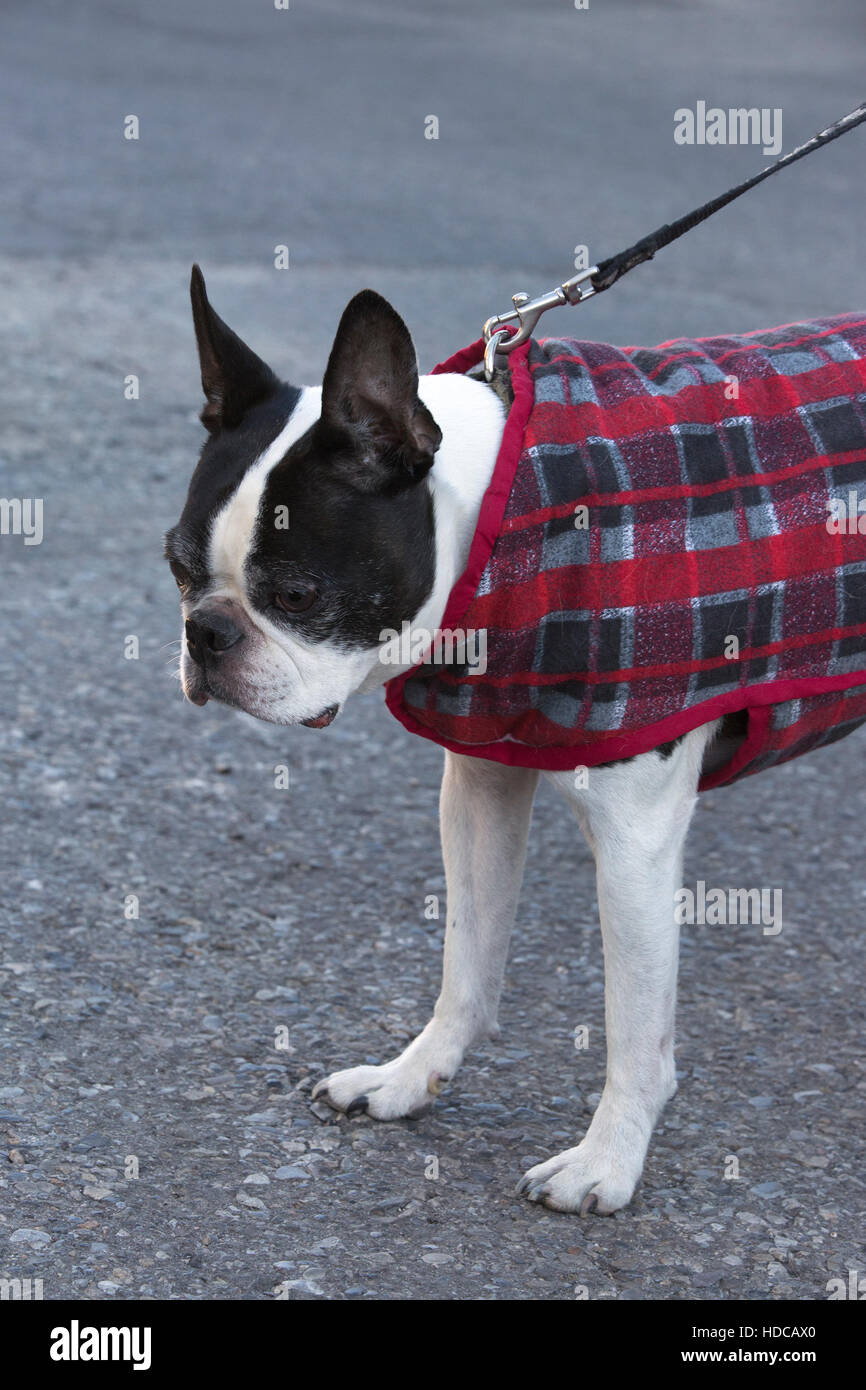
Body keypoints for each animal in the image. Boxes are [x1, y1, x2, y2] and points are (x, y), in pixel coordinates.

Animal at [164, 265, 866, 1212]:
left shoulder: (636, 837)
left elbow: (633, 1025)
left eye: (299, 594)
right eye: (177, 567)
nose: (205, 633)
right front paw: (409, 1077)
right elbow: (469, 957)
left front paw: (608, 1161)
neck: (496, 524)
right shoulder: (482, 782)